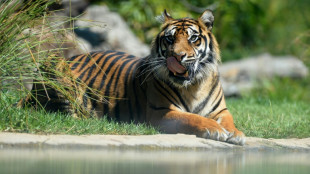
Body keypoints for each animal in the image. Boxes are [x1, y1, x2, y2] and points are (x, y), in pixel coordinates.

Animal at [20, 9, 246, 145]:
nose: (177, 56)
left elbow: (228, 121)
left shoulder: (221, 110)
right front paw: (214, 129)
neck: (193, 86)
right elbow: (193, 117)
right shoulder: (161, 112)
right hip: (54, 63)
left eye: (193, 39)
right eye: (170, 39)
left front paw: (236, 134)